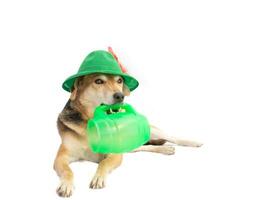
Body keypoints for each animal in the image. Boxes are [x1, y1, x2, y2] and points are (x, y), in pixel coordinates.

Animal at [54, 73, 201, 197]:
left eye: (119, 81)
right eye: (98, 81)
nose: (120, 96)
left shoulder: (114, 154)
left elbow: (103, 164)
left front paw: (98, 178)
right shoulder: (61, 157)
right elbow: (68, 171)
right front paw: (66, 185)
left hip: (151, 130)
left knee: (172, 137)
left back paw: (193, 142)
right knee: (145, 147)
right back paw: (165, 149)